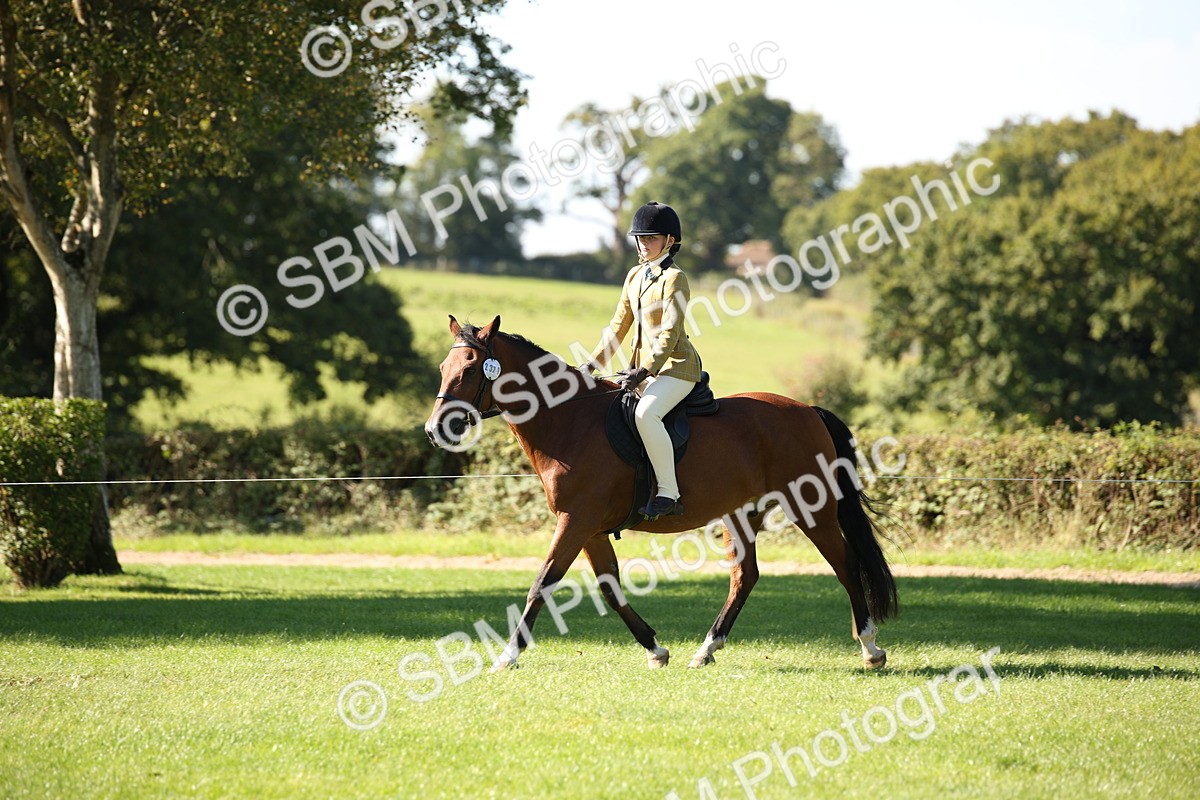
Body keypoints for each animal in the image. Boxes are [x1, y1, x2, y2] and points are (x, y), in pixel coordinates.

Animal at [424, 315, 897, 671]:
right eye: (445, 370)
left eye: (470, 370)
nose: (434, 431)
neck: (569, 421)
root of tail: (807, 411)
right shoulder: (589, 528)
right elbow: (609, 588)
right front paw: (655, 648)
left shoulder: (576, 521)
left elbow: (542, 582)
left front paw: (508, 655)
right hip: (741, 513)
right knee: (745, 576)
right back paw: (706, 649)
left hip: (810, 507)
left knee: (845, 564)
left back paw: (871, 647)